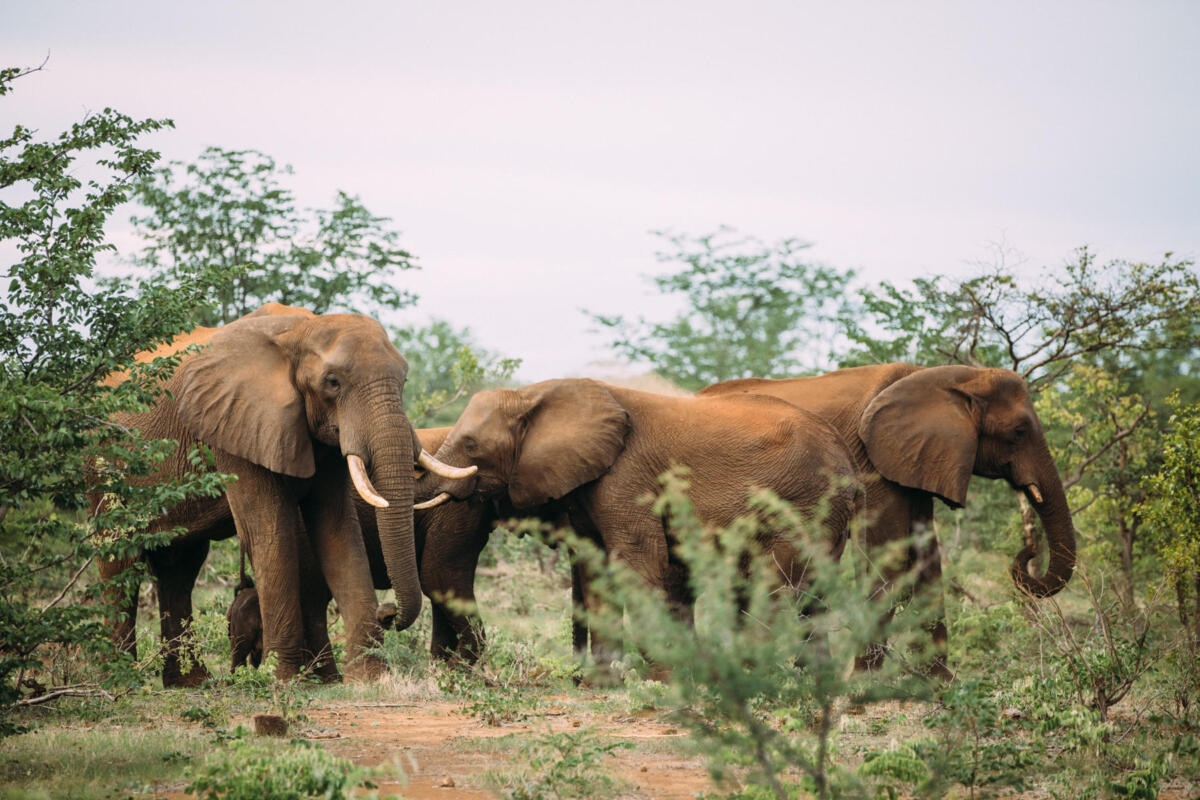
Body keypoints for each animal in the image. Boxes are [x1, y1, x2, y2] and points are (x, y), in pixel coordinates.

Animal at [94, 303, 473, 686]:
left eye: (404, 381)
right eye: (332, 382)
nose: (389, 612)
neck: (301, 331)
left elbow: (338, 531)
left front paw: (371, 678)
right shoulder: (236, 425)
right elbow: (270, 531)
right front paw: (285, 679)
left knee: (179, 567)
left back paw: (191, 683)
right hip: (104, 465)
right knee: (119, 560)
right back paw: (119, 679)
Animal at [413, 378, 860, 670]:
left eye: (470, 444)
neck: (533, 393)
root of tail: (846, 459)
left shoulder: (626, 476)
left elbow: (635, 559)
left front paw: (662, 674)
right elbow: (596, 570)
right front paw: (603, 685)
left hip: (805, 503)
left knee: (776, 583)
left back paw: (755, 672)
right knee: (812, 592)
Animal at [698, 363, 1077, 678]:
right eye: (1020, 431)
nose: (1028, 551)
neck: (953, 377)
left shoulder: (917, 460)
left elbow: (926, 561)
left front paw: (941, 684)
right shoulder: (873, 462)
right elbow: (889, 560)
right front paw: (863, 685)